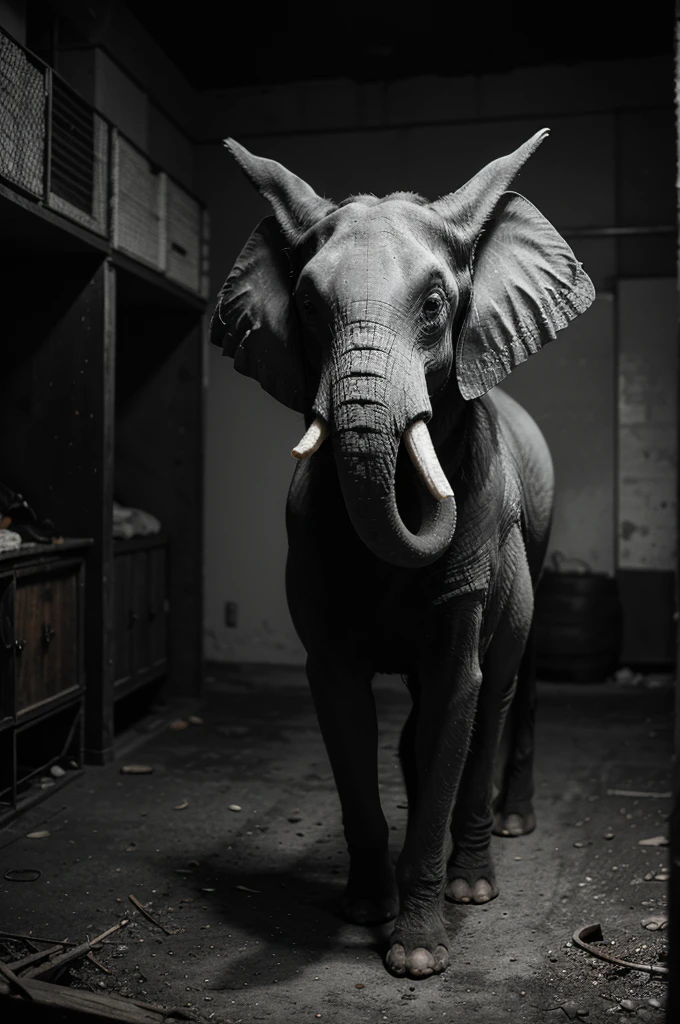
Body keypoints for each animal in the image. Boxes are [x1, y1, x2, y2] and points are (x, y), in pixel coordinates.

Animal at [210, 132, 593, 978]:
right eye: (309, 307)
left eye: (435, 305)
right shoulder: (309, 552)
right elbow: (341, 696)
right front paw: (363, 911)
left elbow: (459, 686)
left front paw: (416, 958)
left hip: (536, 547)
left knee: (503, 689)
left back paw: (481, 869)